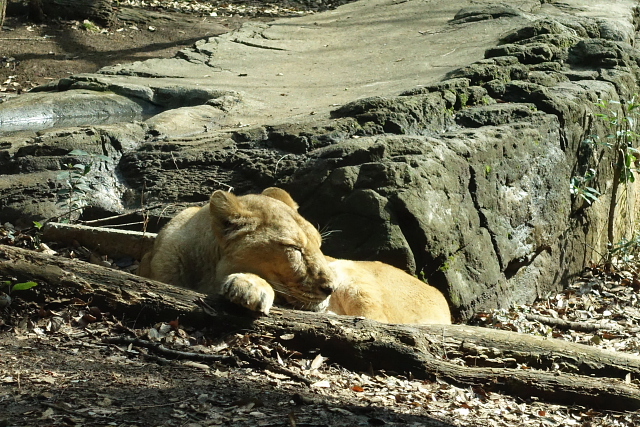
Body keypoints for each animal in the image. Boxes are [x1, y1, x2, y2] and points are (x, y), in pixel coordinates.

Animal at [138, 187, 452, 324]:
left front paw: (248, 286)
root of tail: (439, 295)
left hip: (357, 279)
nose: (331, 288)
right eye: (295, 250)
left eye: (319, 246)